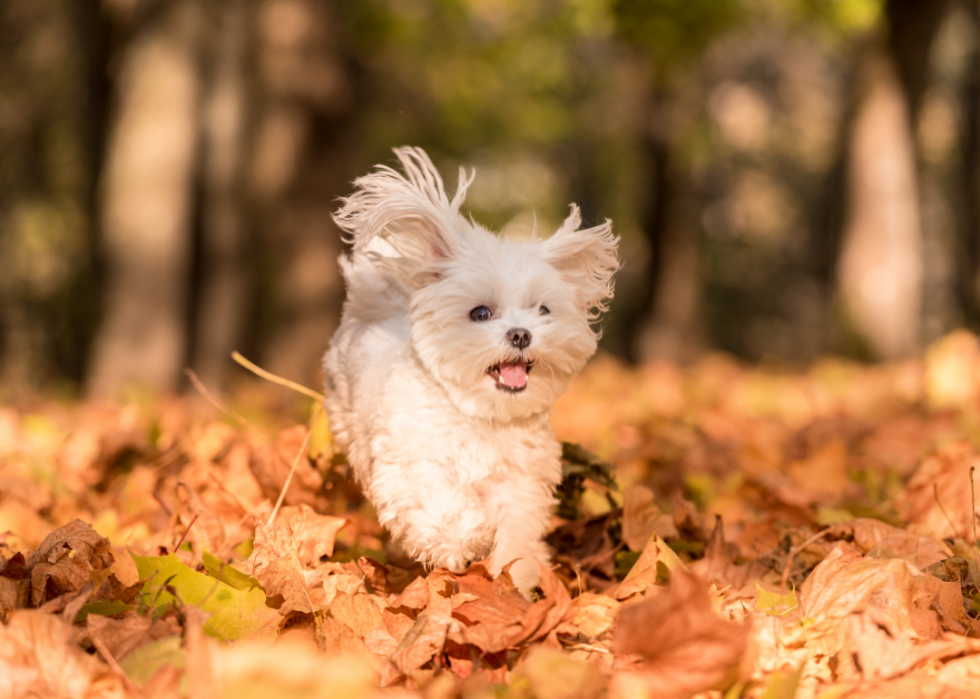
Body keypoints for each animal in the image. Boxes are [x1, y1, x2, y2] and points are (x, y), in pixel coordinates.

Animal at [324, 146, 620, 592]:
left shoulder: (520, 483)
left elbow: (516, 532)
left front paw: (512, 574)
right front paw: (465, 539)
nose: (521, 334)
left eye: (543, 310)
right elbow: (440, 507)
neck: (481, 414)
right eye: (480, 313)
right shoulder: (413, 466)